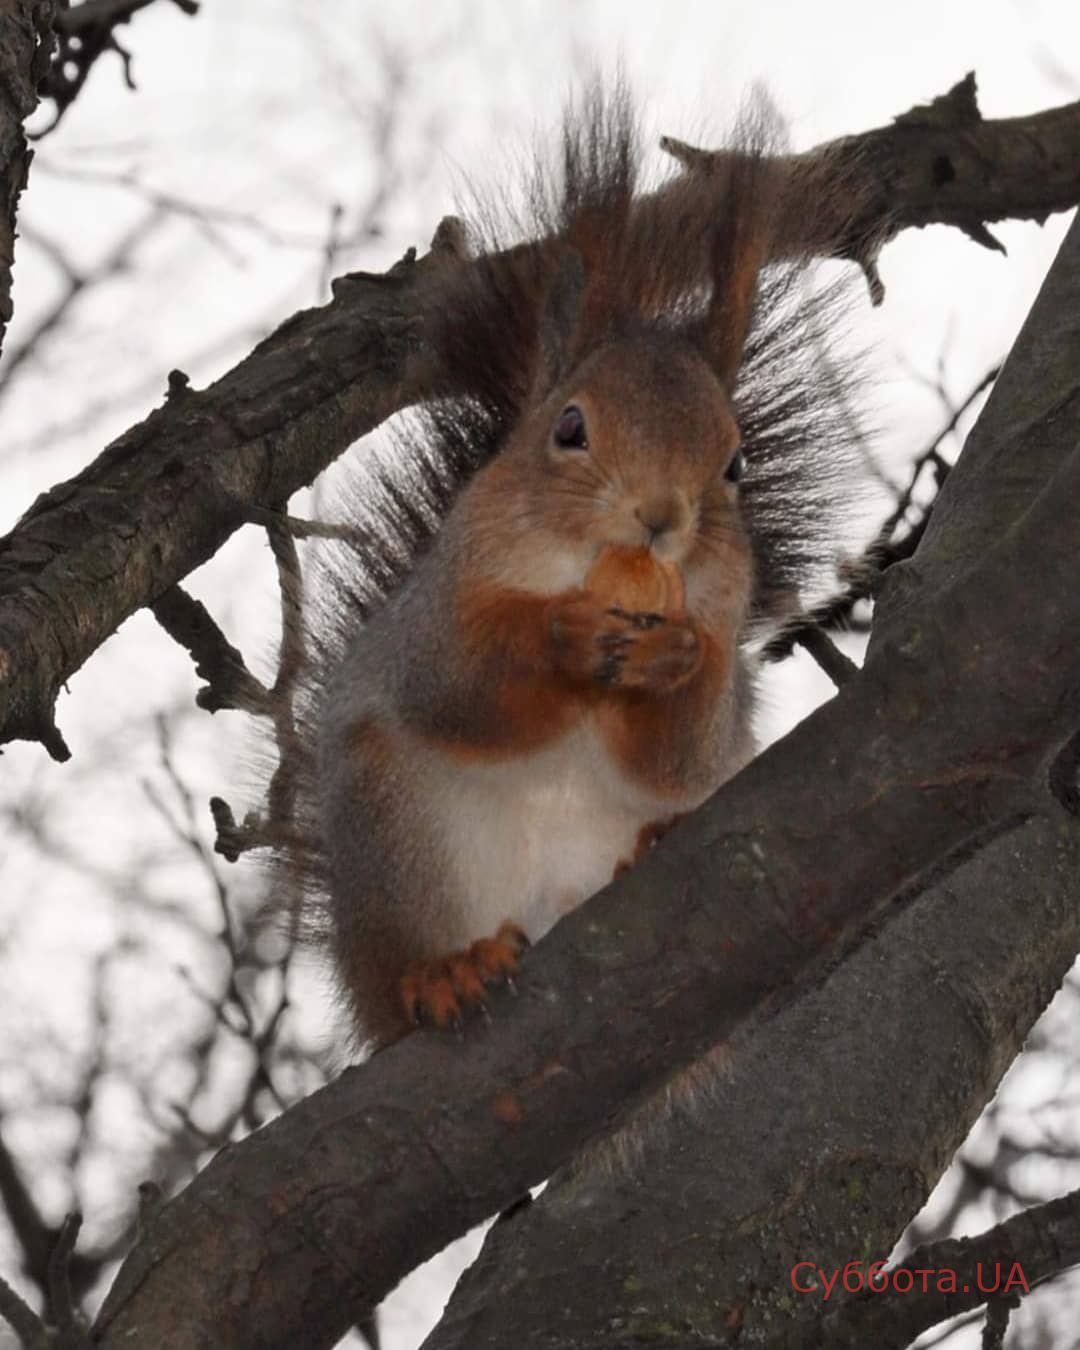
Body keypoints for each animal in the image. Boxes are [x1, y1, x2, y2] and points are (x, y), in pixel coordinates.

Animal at [272, 87, 869, 1053]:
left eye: (736, 463)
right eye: (569, 427)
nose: (661, 518)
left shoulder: (718, 642)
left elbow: (682, 750)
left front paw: (674, 662)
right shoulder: (432, 620)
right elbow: (457, 688)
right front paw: (563, 635)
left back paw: (652, 844)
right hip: (395, 832)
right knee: (408, 961)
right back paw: (444, 971)